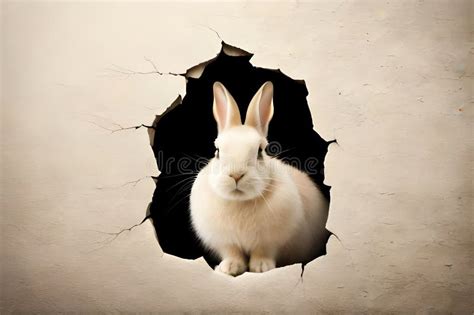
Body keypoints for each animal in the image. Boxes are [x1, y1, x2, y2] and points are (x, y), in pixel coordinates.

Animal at [189, 81, 330, 276]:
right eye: (217, 152)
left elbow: (262, 252)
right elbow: (233, 253)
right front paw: (228, 268)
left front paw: (261, 268)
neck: (240, 203)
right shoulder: (226, 242)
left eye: (260, 152)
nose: (236, 175)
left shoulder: (269, 242)